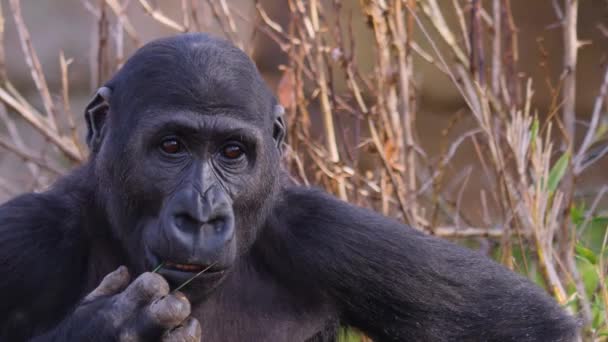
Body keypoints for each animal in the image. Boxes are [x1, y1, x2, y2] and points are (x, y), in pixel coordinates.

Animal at [0, 32, 580, 342]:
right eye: (171, 146)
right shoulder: (27, 238)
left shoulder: (328, 235)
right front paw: (111, 328)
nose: (202, 215)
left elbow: (524, 327)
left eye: (232, 153)